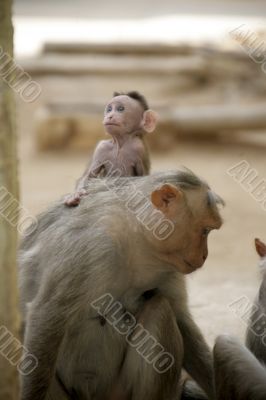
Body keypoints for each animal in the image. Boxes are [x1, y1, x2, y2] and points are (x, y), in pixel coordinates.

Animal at [18, 170, 224, 400]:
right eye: (205, 231)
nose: (204, 256)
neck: (134, 236)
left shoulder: (168, 266)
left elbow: (181, 319)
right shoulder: (87, 248)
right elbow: (47, 317)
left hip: (118, 391)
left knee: (159, 308)